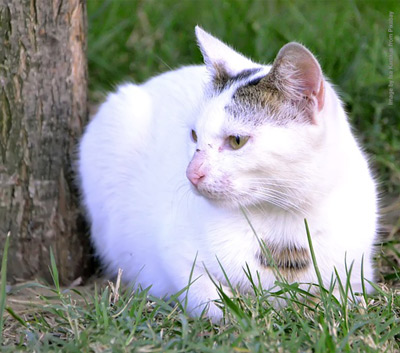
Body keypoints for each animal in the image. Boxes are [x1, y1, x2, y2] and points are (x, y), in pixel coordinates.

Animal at [78, 26, 378, 320]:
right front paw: (243, 314)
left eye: (236, 141)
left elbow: (348, 299)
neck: (284, 221)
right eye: (194, 135)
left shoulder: (359, 271)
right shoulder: (175, 256)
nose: (191, 173)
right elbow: (213, 300)